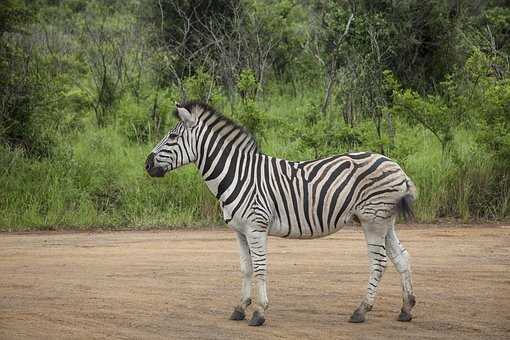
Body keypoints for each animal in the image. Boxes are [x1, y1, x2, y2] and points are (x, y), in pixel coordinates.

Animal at [145, 101, 416, 326]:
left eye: (172, 136)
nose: (146, 165)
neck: (237, 174)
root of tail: (397, 167)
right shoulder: (239, 231)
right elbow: (246, 268)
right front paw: (240, 308)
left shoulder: (256, 227)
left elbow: (260, 267)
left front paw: (259, 312)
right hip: (384, 221)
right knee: (401, 257)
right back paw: (406, 309)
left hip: (373, 220)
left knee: (378, 262)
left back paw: (361, 310)